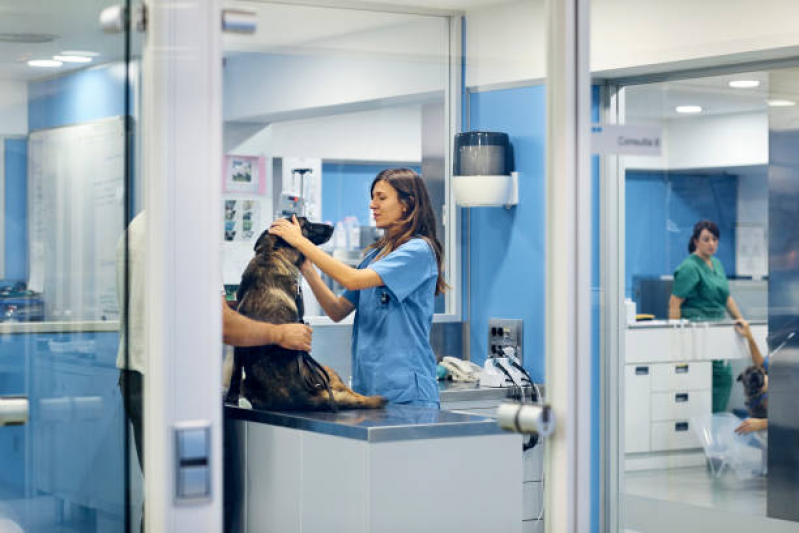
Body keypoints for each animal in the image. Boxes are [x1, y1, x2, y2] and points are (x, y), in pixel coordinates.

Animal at [225, 216, 388, 412]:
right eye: (307, 225)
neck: (271, 254)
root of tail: (304, 398)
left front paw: (231, 399)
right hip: (328, 370)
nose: (331, 227)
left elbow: (234, 374)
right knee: (351, 393)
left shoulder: (239, 345)